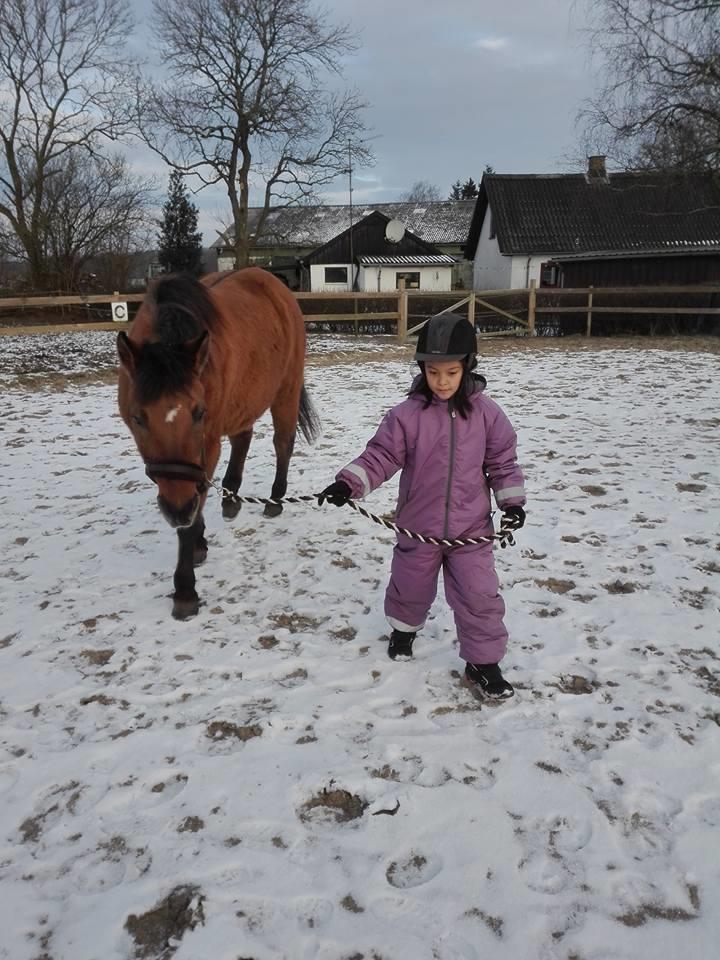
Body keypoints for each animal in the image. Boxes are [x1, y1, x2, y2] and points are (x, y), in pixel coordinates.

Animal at [117, 266, 318, 620]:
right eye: (138, 418)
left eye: (199, 412)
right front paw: (199, 540)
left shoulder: (207, 445)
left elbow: (194, 506)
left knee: (283, 443)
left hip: (286, 389)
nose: (176, 510)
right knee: (243, 439)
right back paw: (231, 497)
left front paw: (185, 590)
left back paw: (274, 500)